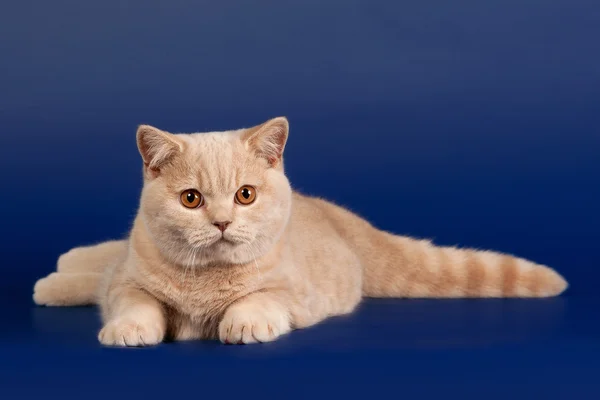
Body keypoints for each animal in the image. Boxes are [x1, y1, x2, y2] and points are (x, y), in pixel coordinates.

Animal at [32, 116, 568, 346]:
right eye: (191, 200)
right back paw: (58, 274)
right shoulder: (128, 282)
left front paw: (242, 322)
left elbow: (259, 299)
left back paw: (54, 277)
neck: (204, 278)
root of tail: (345, 221)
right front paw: (129, 328)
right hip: (125, 254)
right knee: (104, 262)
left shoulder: (294, 294)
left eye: (245, 195)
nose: (222, 221)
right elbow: (134, 300)